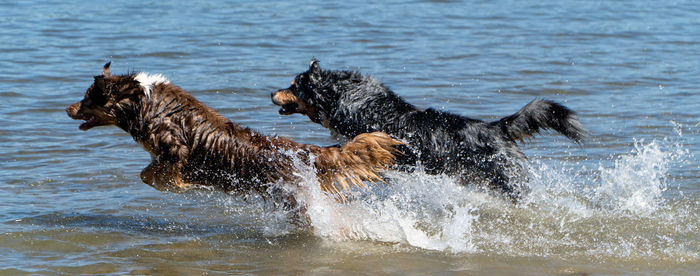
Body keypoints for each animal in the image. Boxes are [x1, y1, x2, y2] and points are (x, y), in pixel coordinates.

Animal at [68, 62, 402, 218]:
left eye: (86, 98)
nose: (67, 108)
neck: (141, 100)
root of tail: (301, 151)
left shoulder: (174, 147)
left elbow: (155, 176)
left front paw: (183, 185)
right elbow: (149, 174)